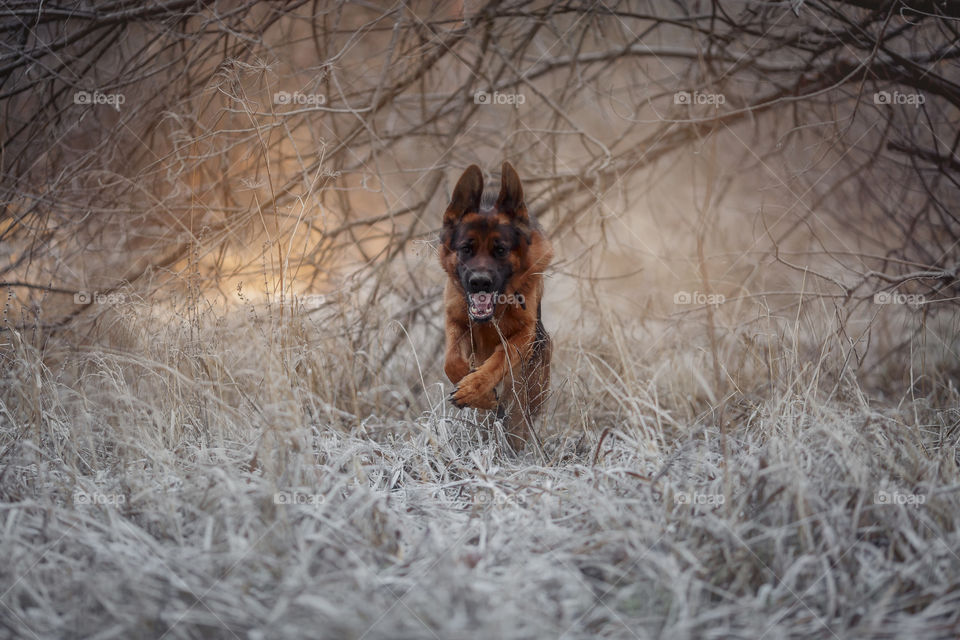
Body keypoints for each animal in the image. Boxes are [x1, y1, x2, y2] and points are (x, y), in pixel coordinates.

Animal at [438, 162, 552, 448]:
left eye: (500, 250)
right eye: (466, 248)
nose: (480, 282)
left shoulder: (526, 332)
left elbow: (502, 356)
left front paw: (474, 387)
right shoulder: (455, 320)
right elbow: (451, 361)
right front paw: (477, 390)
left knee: (522, 414)